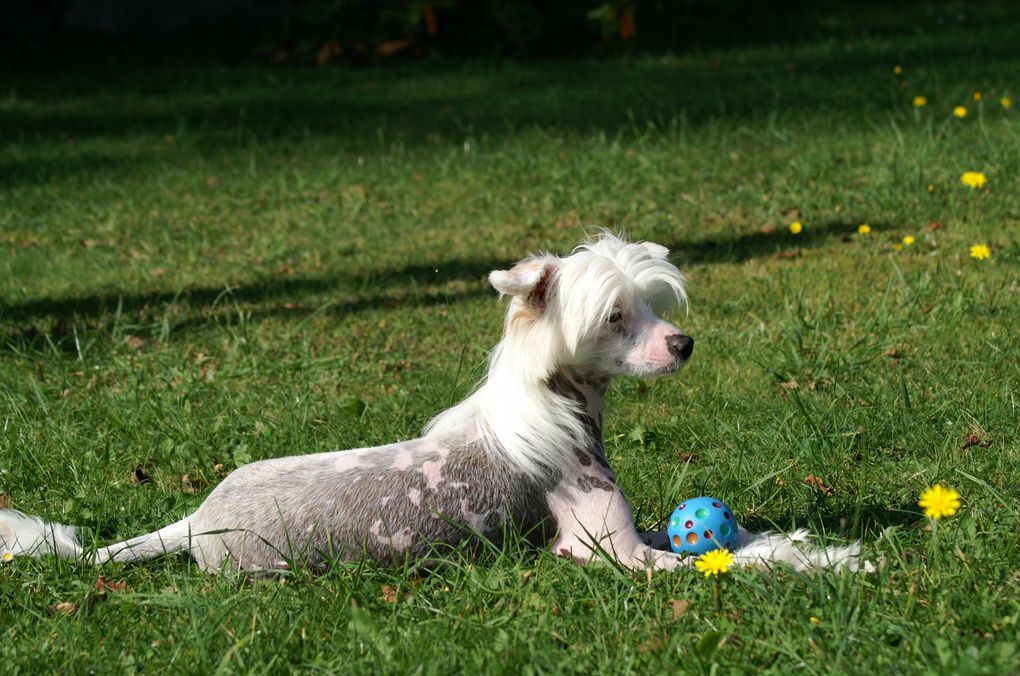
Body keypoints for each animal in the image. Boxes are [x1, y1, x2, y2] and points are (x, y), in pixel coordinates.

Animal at [0, 235, 869, 575]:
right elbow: (732, 562)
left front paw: (801, 542)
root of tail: (192, 523)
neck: (554, 407)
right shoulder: (606, 554)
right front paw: (823, 563)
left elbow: (736, 540)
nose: (683, 344)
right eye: (615, 317)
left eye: (654, 307)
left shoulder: (635, 531)